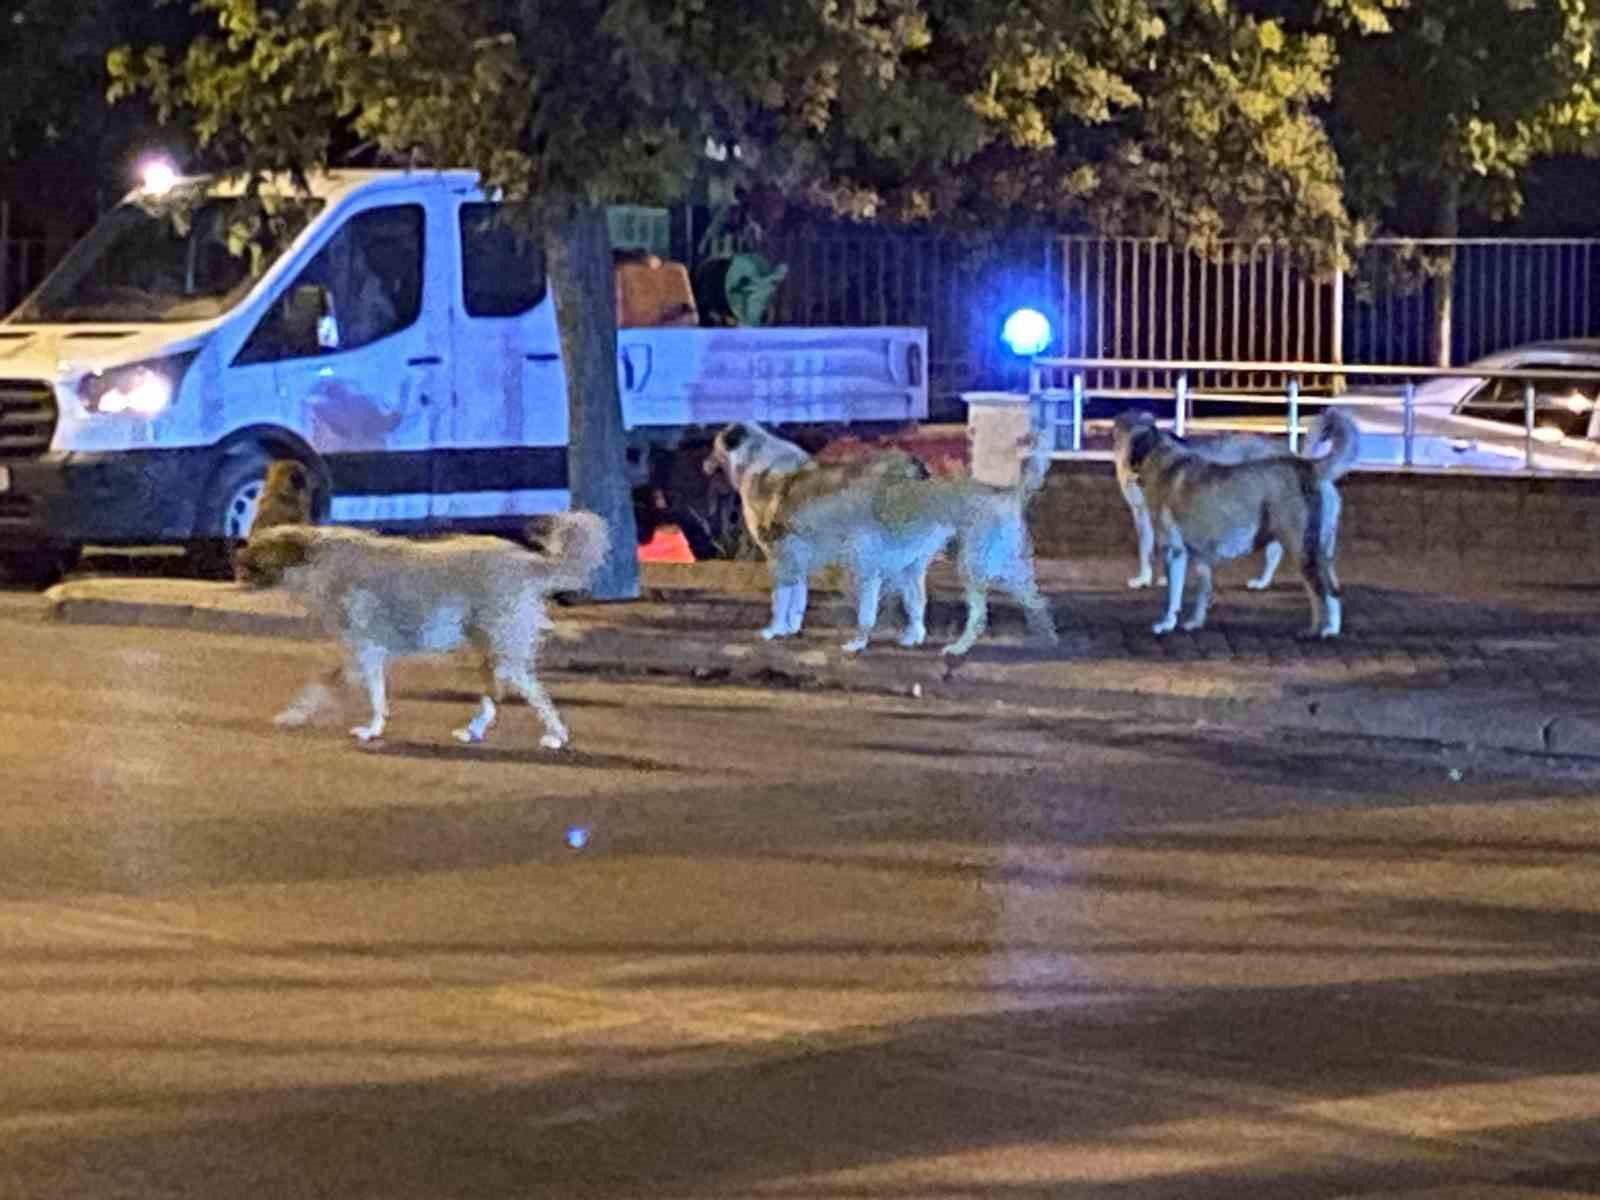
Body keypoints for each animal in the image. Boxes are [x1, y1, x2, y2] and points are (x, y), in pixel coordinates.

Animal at [233, 512, 608, 748]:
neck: (316, 559)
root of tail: (528, 560)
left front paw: (368, 729)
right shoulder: (361, 654)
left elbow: (356, 693)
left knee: (537, 695)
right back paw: (473, 732)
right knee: (493, 698)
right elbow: (336, 687)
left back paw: (557, 736)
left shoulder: (365, 651)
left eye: (259, 550)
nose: (234, 556)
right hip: (485, 651)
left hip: (503, 652)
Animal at [1126, 409, 1363, 640]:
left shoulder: (1174, 552)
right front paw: (1195, 622)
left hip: (1300, 549)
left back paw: (1319, 631)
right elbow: (1203, 592)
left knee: (1321, 592)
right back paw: (1326, 629)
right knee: (1332, 591)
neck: (1164, 461)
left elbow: (1173, 597)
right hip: (1319, 550)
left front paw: (1166, 624)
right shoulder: (1201, 557)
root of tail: (1307, 465)